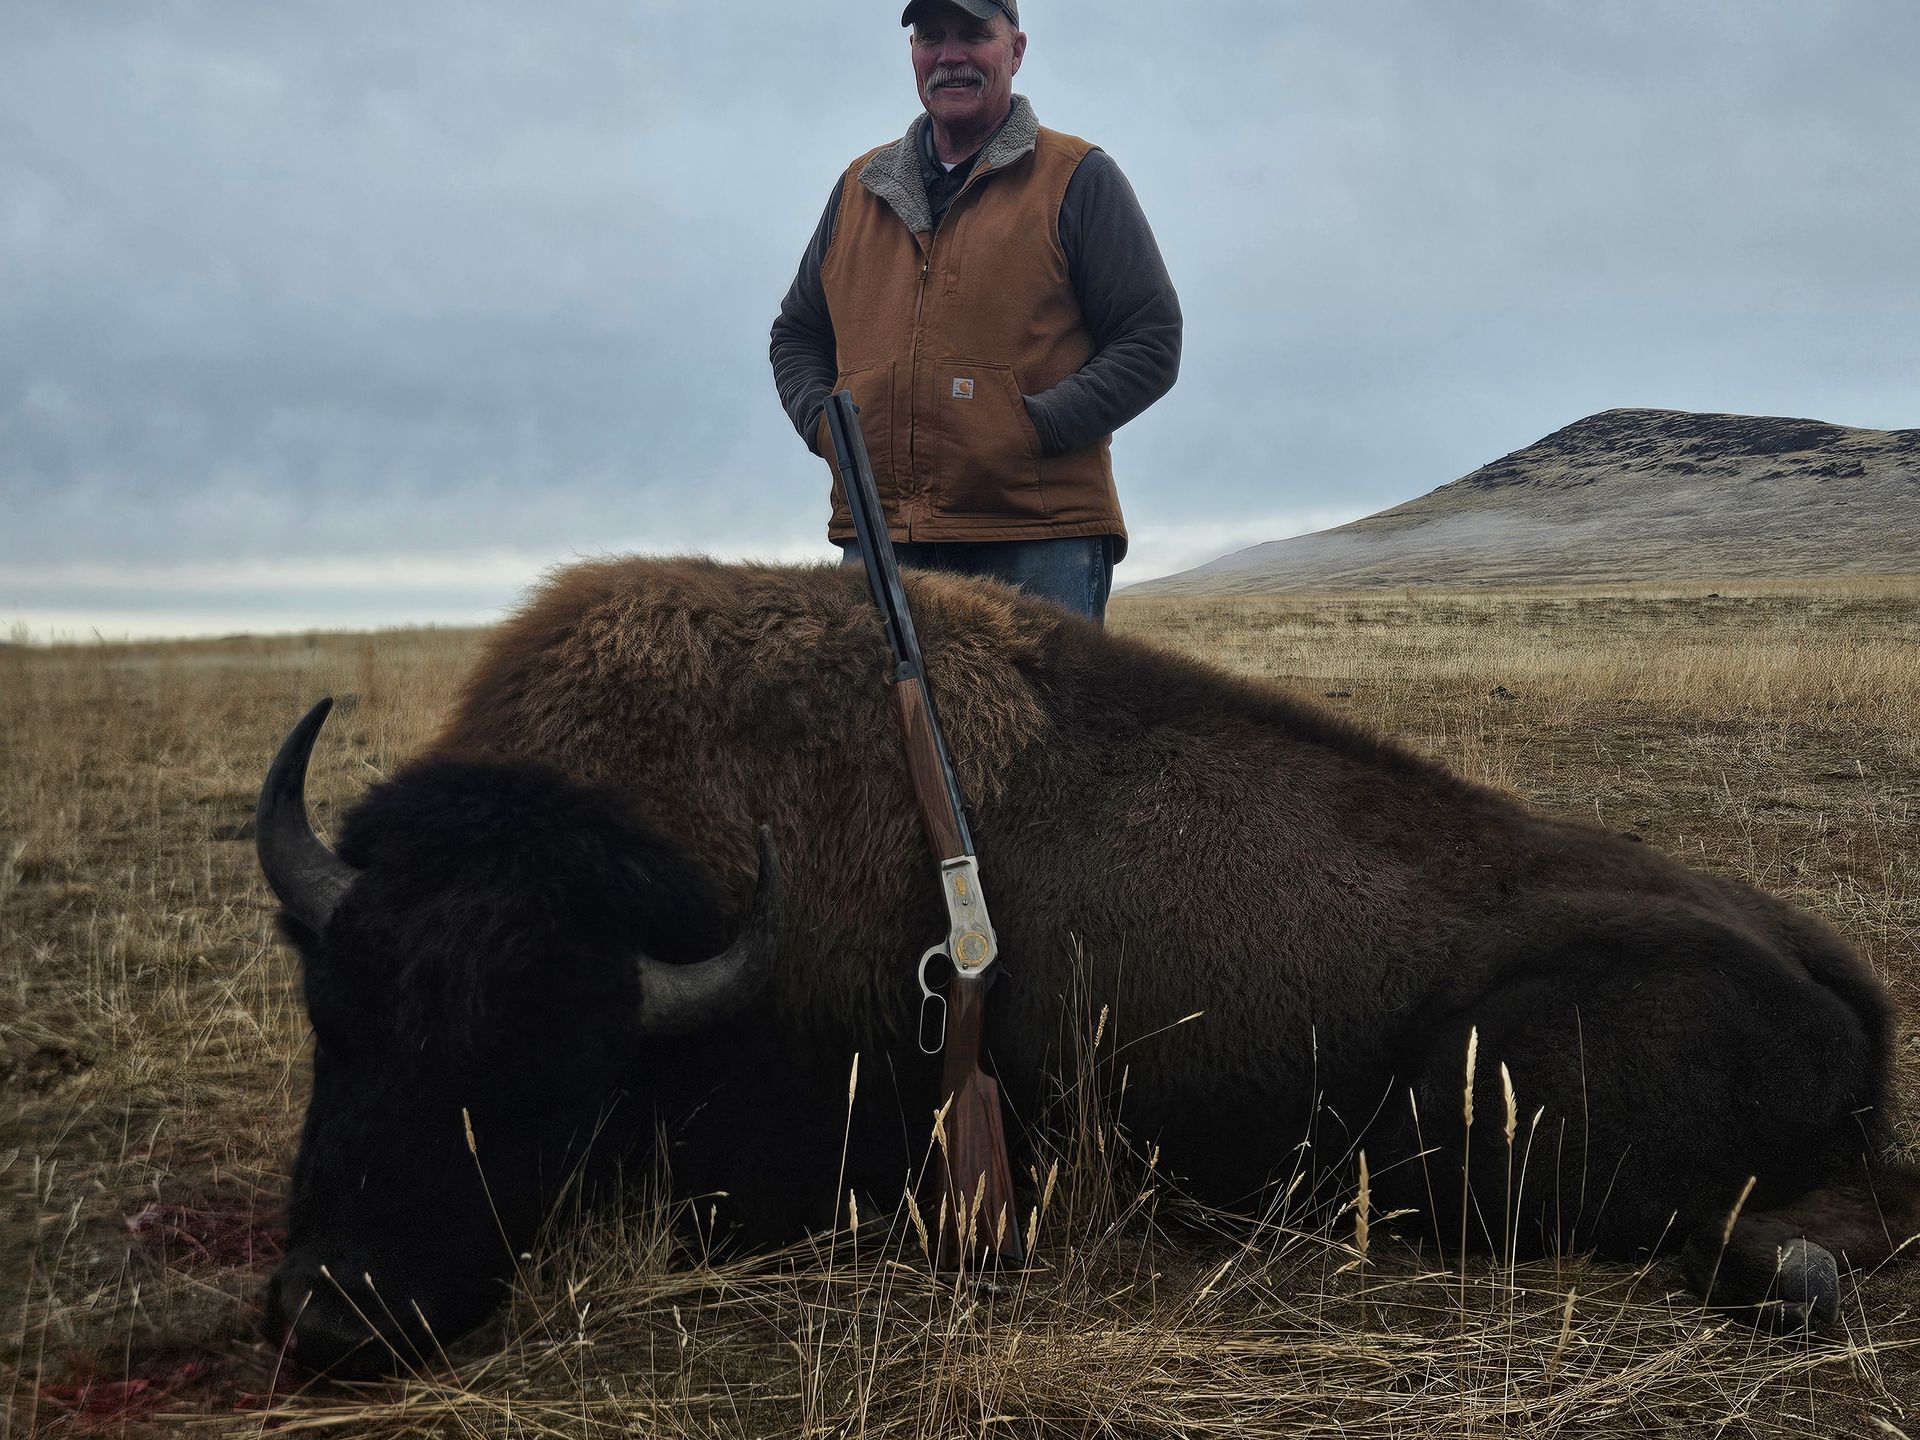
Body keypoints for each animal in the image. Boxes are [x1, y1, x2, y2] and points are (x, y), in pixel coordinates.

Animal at [257, 557, 1915, 1374]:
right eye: (334, 1021)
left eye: (556, 1076)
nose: (330, 1317)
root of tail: (1826, 962)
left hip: (1493, 1125)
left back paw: (1791, 1281)